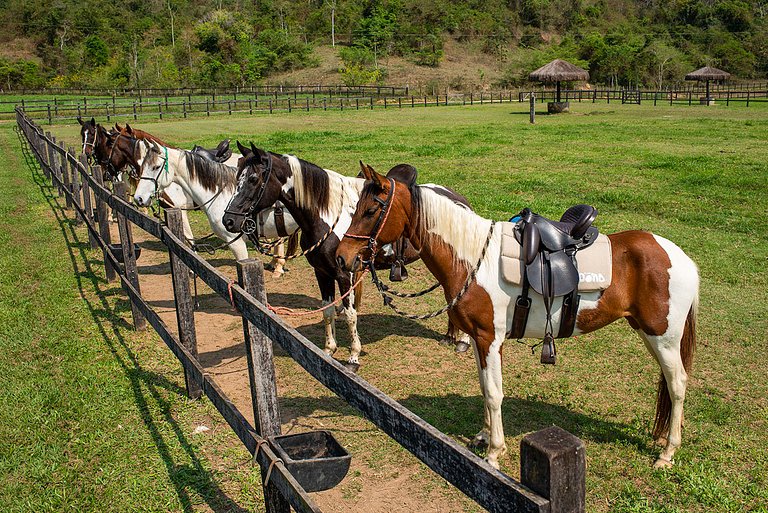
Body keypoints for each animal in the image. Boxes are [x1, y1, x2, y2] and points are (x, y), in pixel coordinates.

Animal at [220, 142, 474, 368]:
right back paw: (450, 336)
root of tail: (460, 199)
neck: (327, 217)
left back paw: (462, 340)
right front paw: (328, 350)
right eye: (238, 177)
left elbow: (351, 314)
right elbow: (328, 310)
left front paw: (353, 357)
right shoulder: (322, 273)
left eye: (253, 179)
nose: (229, 220)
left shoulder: (345, 274)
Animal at [334, 163, 696, 468]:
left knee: (677, 383)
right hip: (649, 333)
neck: (471, 258)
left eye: (370, 210)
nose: (340, 257)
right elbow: (485, 388)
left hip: (663, 337)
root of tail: (681, 257)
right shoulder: (479, 341)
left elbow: (495, 394)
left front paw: (495, 452)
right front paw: (483, 436)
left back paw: (667, 453)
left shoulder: (490, 340)